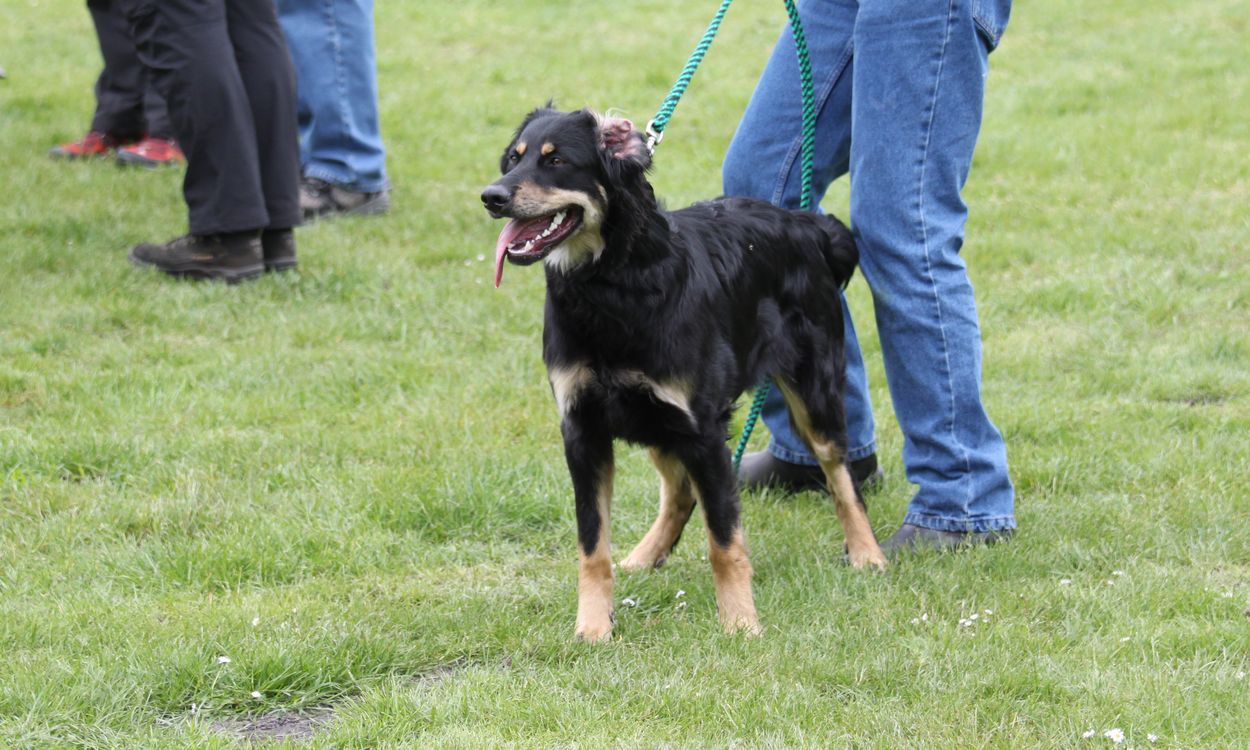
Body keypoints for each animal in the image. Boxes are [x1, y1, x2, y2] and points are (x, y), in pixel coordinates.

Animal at [481, 106, 886, 642]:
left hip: (810, 389)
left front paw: (740, 621)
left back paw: (867, 552)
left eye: (557, 161)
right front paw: (593, 626)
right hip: (656, 422)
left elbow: (724, 539)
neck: (611, 283)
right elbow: (592, 545)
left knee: (840, 473)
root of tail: (809, 224)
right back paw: (647, 554)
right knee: (680, 491)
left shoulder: (703, 428)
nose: (492, 196)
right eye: (513, 159)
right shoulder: (583, 430)